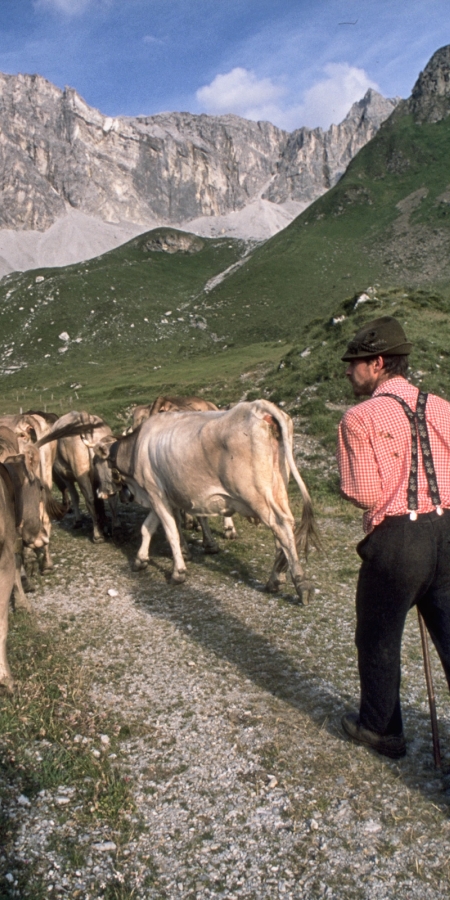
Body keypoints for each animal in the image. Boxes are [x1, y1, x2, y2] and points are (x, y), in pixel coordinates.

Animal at [43, 402, 316, 604]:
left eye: (96, 461)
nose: (102, 492)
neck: (135, 448)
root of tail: (258, 407)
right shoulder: (159, 496)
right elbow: (147, 528)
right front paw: (140, 560)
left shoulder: (155, 494)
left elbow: (171, 532)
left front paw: (178, 571)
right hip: (278, 489)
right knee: (282, 533)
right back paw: (276, 578)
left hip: (257, 495)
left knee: (281, 528)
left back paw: (298, 584)